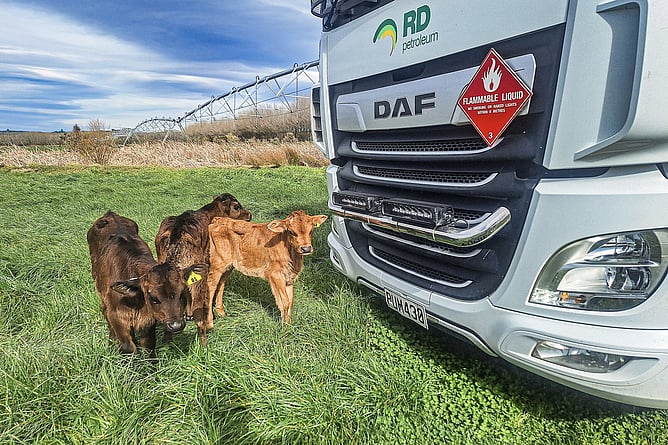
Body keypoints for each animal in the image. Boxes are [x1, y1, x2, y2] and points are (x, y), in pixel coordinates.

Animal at [87, 211, 205, 356]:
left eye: (182, 294)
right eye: (153, 298)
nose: (176, 325)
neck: (134, 301)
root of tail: (110, 214)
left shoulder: (148, 320)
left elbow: (148, 346)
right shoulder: (117, 316)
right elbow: (128, 348)